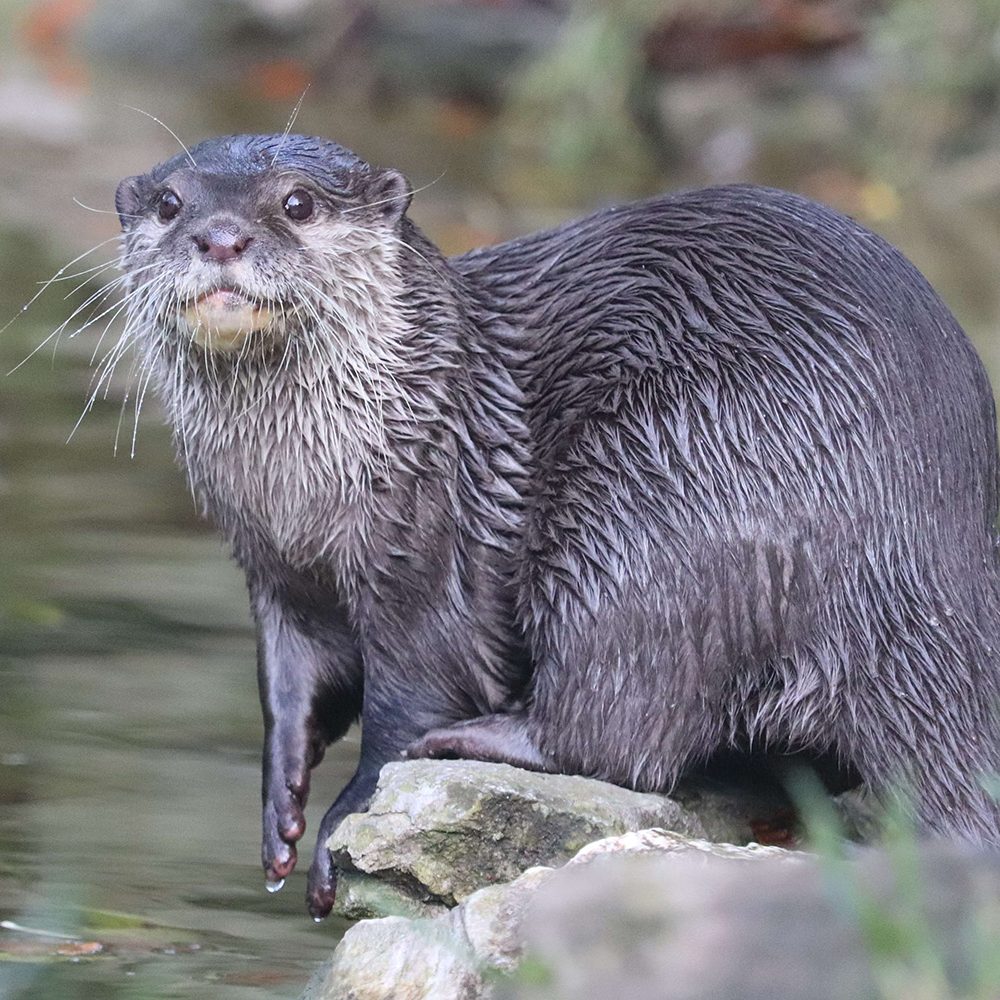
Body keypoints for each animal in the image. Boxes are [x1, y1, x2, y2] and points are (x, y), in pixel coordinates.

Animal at [111, 137, 1000, 916]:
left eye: (297, 202)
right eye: (170, 202)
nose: (221, 236)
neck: (305, 491)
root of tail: (918, 563)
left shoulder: (425, 557)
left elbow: (409, 703)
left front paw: (342, 823)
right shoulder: (276, 575)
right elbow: (290, 692)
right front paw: (281, 812)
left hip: (652, 496)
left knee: (618, 729)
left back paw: (484, 738)